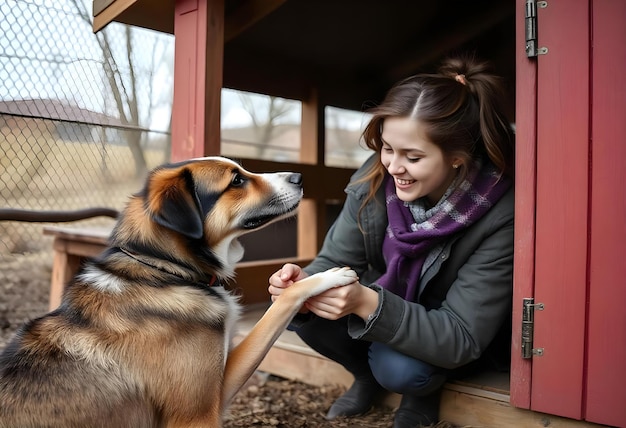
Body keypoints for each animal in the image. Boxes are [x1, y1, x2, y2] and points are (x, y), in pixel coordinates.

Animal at [0, 157, 356, 428]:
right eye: (237, 180)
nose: (300, 176)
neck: (164, 270)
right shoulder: (198, 413)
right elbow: (280, 304)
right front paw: (328, 276)